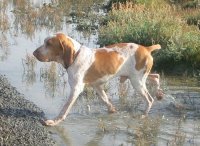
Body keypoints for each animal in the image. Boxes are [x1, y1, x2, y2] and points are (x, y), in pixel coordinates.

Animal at [32, 32, 163, 126]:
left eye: (49, 44)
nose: (34, 53)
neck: (75, 55)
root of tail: (146, 48)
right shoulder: (97, 86)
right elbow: (106, 101)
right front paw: (112, 111)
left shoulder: (76, 89)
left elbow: (65, 109)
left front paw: (54, 121)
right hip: (137, 77)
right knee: (156, 77)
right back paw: (159, 93)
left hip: (137, 82)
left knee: (149, 100)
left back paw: (143, 115)